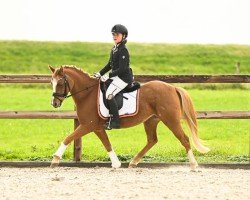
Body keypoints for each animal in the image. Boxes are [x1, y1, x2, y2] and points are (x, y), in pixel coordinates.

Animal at [48, 65, 209, 170]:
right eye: (51, 82)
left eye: (60, 82)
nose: (54, 103)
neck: (87, 94)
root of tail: (172, 87)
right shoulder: (97, 127)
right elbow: (107, 143)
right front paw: (116, 164)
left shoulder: (88, 125)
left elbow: (68, 138)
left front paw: (55, 159)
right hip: (151, 120)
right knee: (152, 140)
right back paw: (133, 162)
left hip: (171, 120)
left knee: (184, 139)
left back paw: (193, 165)